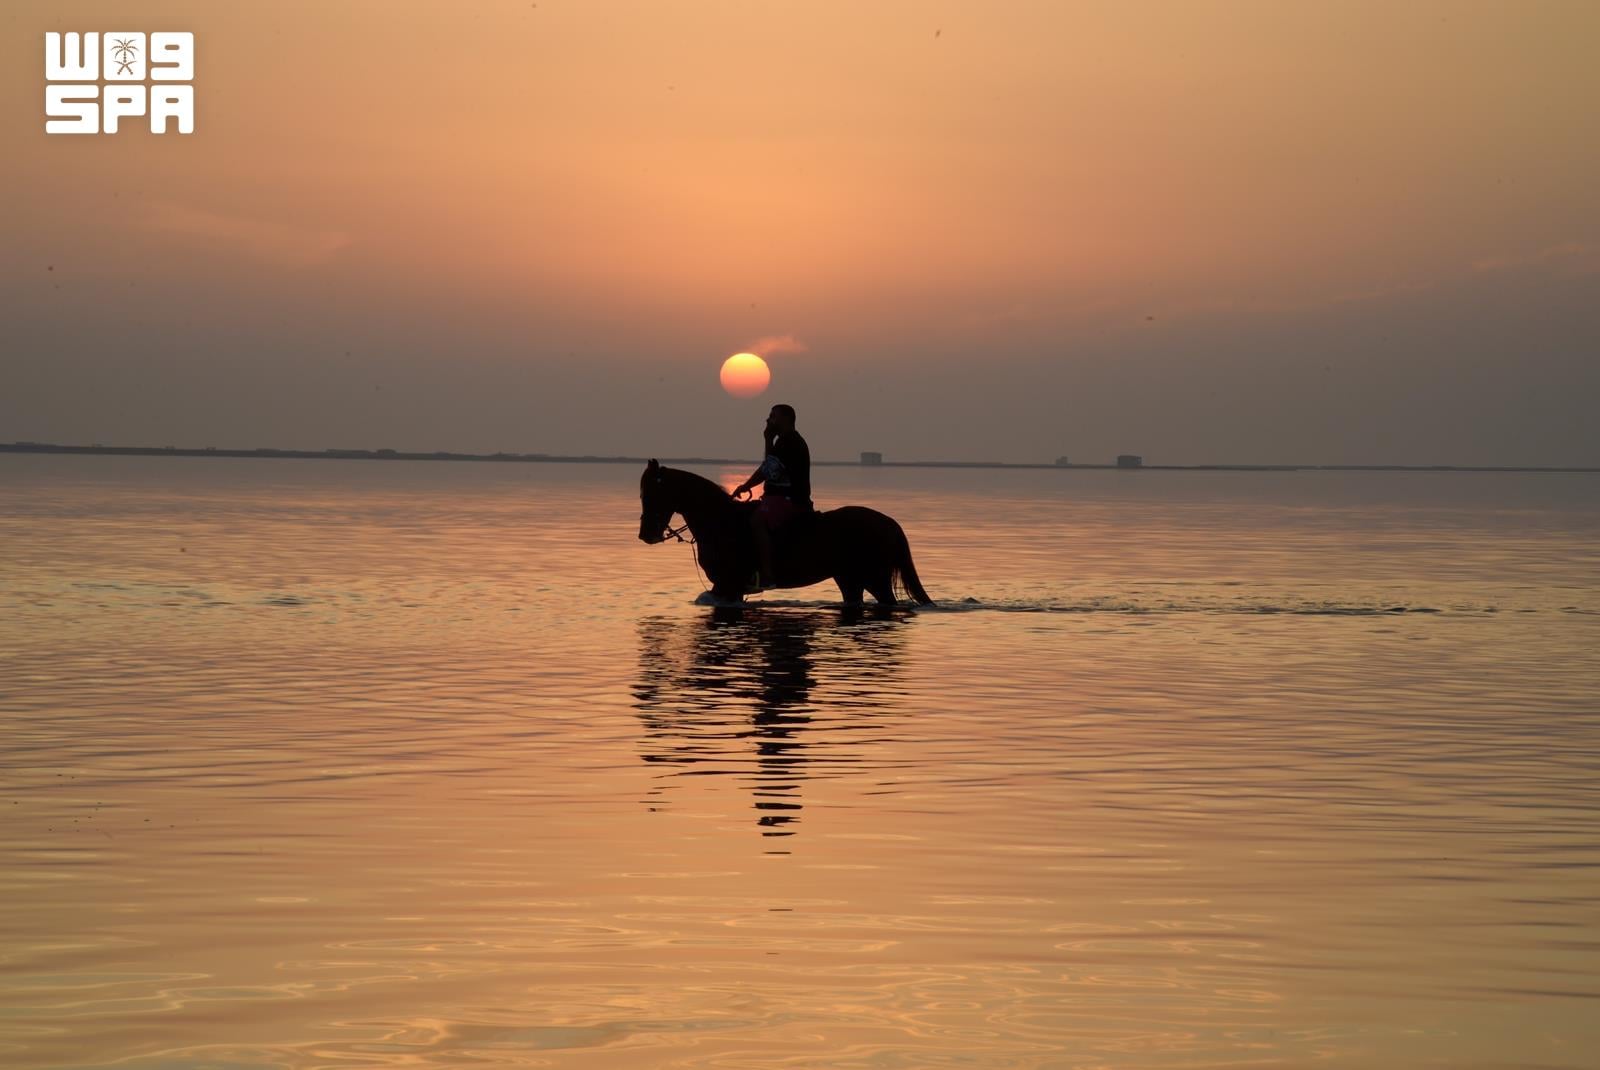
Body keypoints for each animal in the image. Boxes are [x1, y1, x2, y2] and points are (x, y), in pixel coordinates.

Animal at [638, 460, 934, 606]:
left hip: (875, 578)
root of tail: (889, 522)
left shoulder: (727, 585)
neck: (720, 521)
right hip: (849, 579)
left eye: (652, 492)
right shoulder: (727, 587)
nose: (646, 534)